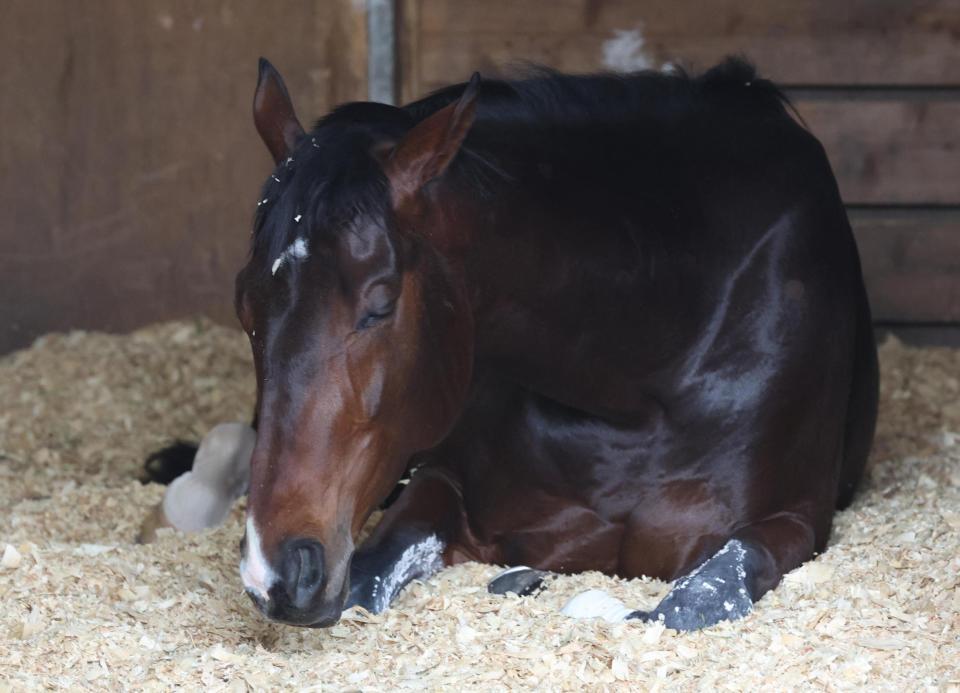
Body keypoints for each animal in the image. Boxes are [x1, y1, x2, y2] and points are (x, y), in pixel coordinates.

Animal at [148, 56, 878, 631]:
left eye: (379, 304)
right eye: (245, 306)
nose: (273, 571)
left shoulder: (790, 522)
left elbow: (688, 604)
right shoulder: (440, 485)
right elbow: (372, 570)